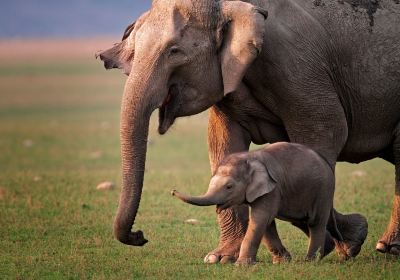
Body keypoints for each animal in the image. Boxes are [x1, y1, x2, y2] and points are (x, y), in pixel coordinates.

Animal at [170, 142, 342, 264]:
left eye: (229, 186)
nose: (172, 191)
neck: (250, 158)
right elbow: (266, 223)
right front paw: (281, 262)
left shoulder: (272, 189)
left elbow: (260, 218)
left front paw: (241, 265)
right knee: (302, 221)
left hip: (324, 190)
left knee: (315, 222)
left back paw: (310, 261)